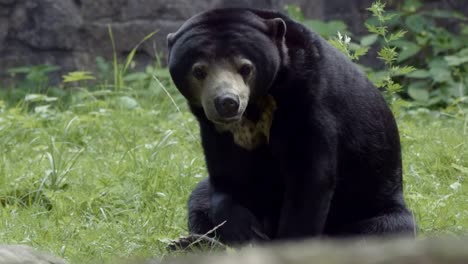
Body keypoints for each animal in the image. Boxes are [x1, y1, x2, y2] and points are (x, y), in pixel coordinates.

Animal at [166, 7, 414, 245]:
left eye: (246, 68)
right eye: (199, 71)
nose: (227, 102)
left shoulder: (309, 102)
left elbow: (309, 178)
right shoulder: (215, 129)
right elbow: (228, 176)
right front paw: (246, 231)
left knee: (383, 229)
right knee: (198, 197)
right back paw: (190, 241)